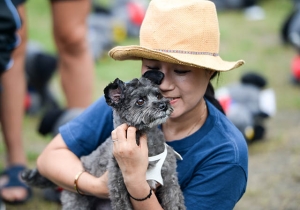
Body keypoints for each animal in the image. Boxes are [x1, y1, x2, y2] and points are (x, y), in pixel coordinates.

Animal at [22, 71, 185, 210]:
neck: (147, 142)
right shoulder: (119, 188)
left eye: (158, 95)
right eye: (140, 101)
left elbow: (175, 203)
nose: (163, 105)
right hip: (77, 202)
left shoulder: (170, 182)